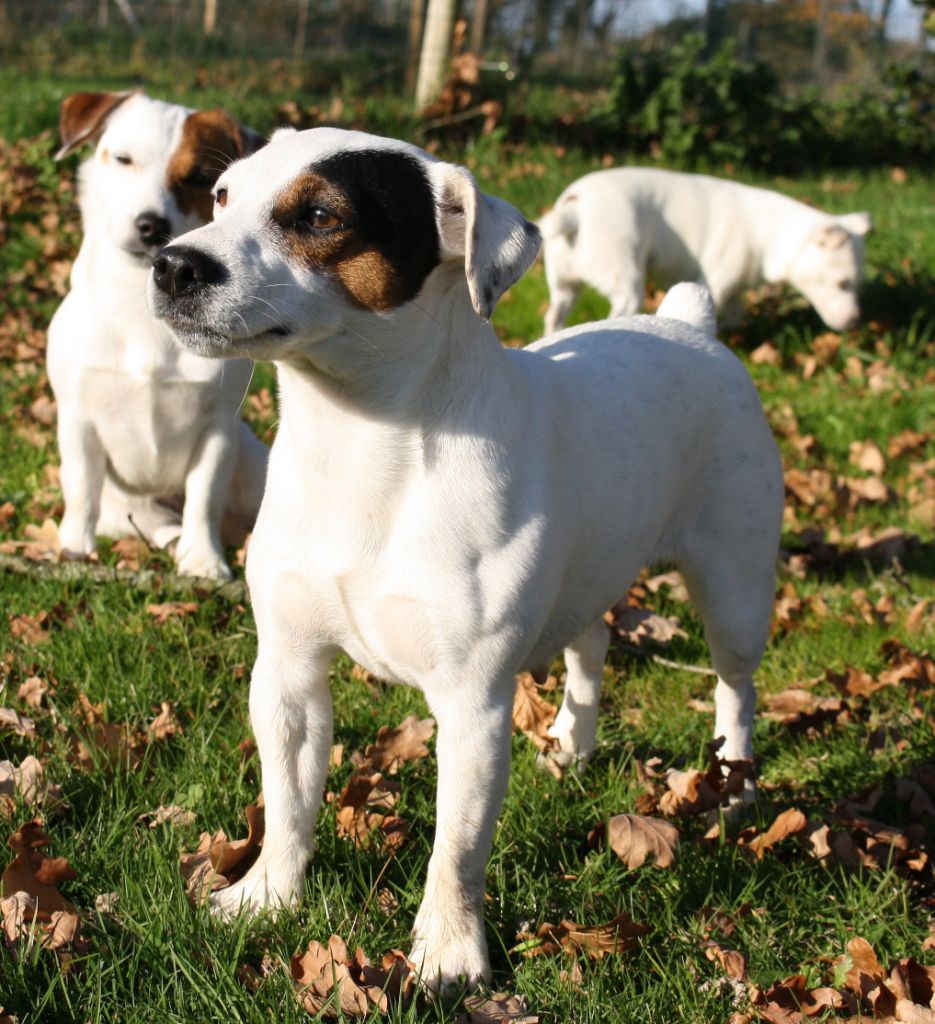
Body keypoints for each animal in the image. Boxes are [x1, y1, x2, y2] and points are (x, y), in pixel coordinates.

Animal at [47, 91, 268, 581]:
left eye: (200, 178)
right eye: (124, 159)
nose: (152, 224)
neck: (141, 310)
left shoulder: (218, 430)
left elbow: (203, 500)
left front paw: (203, 561)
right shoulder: (77, 420)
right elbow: (81, 491)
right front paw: (73, 549)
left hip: (254, 466)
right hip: (124, 504)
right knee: (148, 521)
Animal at [149, 123, 782, 987]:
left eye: (319, 216)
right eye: (220, 196)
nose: (172, 264)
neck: (361, 448)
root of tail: (690, 326)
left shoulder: (472, 705)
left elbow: (456, 847)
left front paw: (447, 953)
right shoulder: (287, 673)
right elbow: (287, 804)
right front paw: (269, 897)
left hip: (733, 588)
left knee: (734, 687)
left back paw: (734, 785)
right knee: (591, 639)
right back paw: (573, 743)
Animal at [536, 168, 872, 331]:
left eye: (858, 286)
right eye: (842, 284)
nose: (856, 324)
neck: (766, 232)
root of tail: (574, 210)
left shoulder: (736, 289)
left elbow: (737, 314)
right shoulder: (714, 284)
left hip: (565, 285)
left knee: (553, 317)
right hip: (627, 284)